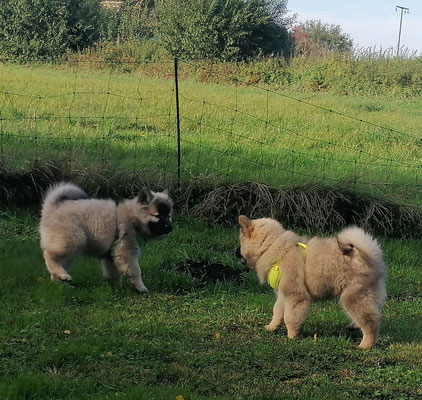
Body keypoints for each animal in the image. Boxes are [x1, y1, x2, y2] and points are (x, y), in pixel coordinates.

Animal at [38, 183, 172, 292]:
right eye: (158, 216)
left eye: (168, 215)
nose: (170, 227)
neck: (134, 218)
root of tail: (52, 208)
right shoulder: (127, 252)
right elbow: (135, 271)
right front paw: (141, 287)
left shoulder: (111, 256)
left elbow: (114, 274)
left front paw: (117, 288)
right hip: (73, 240)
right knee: (49, 255)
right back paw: (63, 275)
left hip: (69, 248)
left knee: (57, 265)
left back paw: (62, 283)